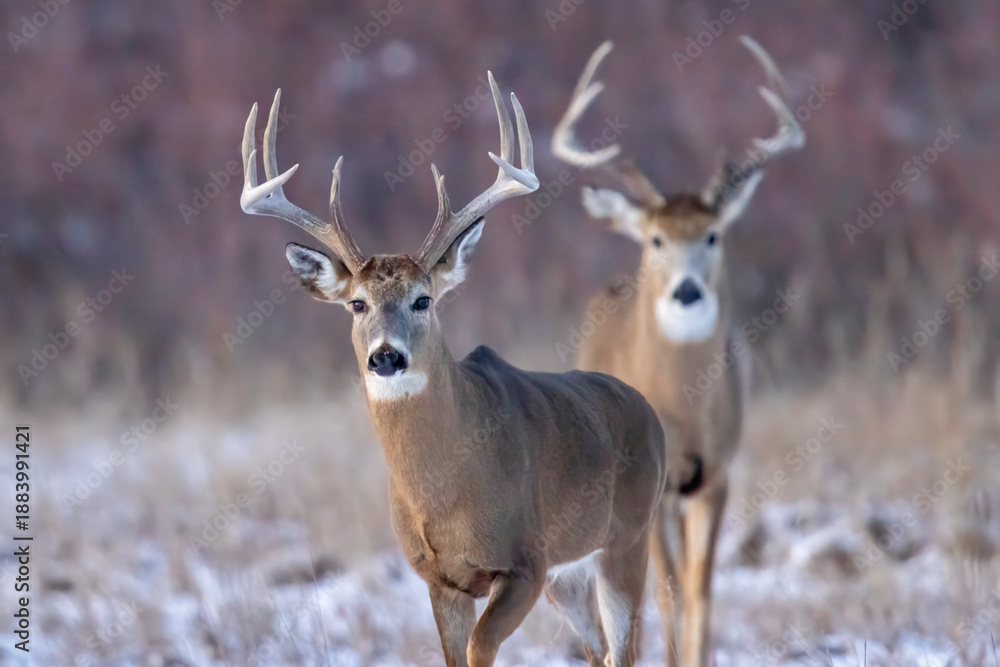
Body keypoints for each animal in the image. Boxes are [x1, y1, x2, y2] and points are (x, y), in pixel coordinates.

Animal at [236, 74, 703, 667]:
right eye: (357, 304)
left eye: (424, 299)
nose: (385, 356)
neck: (447, 492)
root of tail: (644, 408)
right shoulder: (439, 581)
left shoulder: (526, 560)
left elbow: (483, 648)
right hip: (570, 574)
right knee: (598, 649)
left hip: (626, 538)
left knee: (626, 648)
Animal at [552, 37, 805, 666]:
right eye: (657, 238)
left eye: (712, 235)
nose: (686, 291)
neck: (684, 410)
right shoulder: (659, 486)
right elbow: (666, 589)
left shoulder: (716, 471)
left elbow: (700, 586)